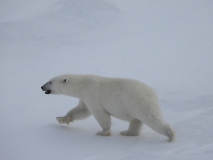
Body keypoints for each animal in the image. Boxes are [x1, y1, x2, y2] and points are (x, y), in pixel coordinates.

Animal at [41, 74, 175, 141]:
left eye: (50, 82)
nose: (42, 86)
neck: (83, 84)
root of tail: (153, 93)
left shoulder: (92, 94)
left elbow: (100, 114)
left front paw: (103, 132)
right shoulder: (85, 97)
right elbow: (81, 110)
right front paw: (61, 118)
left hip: (139, 102)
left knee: (151, 118)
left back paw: (170, 134)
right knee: (136, 121)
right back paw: (127, 132)